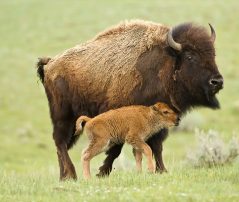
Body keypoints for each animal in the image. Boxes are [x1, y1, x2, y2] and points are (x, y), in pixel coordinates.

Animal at [36, 20, 223, 180]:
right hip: (62, 116)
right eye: (190, 56)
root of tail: (50, 64)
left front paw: (161, 170)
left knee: (62, 145)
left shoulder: (158, 124)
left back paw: (64, 176)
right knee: (60, 142)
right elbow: (118, 148)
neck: (166, 62)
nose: (217, 81)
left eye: (213, 54)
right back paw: (71, 175)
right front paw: (103, 172)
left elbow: (156, 146)